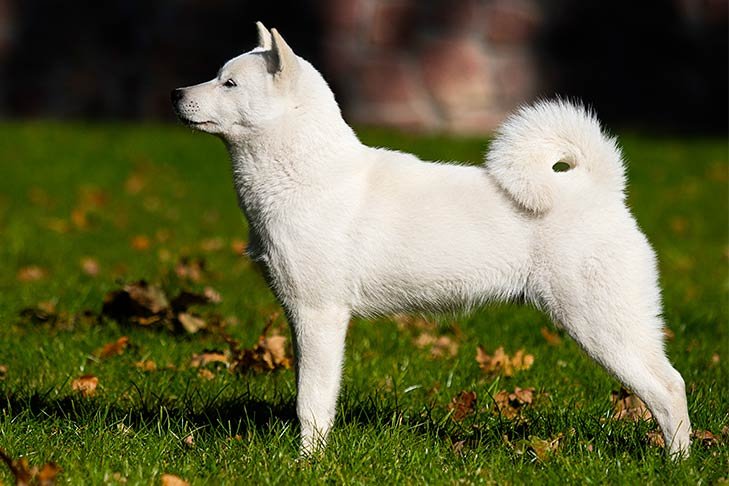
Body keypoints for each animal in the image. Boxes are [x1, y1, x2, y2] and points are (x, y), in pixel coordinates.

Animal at [173, 21, 692, 456]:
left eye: (229, 84)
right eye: (217, 76)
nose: (177, 93)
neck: (307, 175)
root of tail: (602, 188)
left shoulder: (320, 315)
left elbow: (312, 402)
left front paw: (308, 461)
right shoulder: (302, 317)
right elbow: (311, 392)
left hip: (602, 325)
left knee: (669, 389)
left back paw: (676, 463)